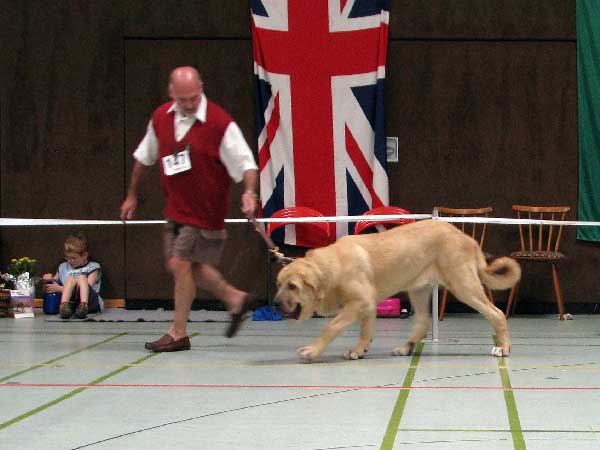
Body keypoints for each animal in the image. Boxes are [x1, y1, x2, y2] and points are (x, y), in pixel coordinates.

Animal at [274, 220, 516, 364]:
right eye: (278, 284)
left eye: (292, 286)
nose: (275, 304)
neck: (331, 268)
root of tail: (469, 239)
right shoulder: (367, 305)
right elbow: (365, 331)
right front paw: (360, 350)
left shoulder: (360, 302)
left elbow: (331, 327)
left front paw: (312, 351)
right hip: (419, 290)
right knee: (423, 322)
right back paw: (405, 348)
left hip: (464, 286)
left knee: (497, 314)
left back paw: (503, 347)